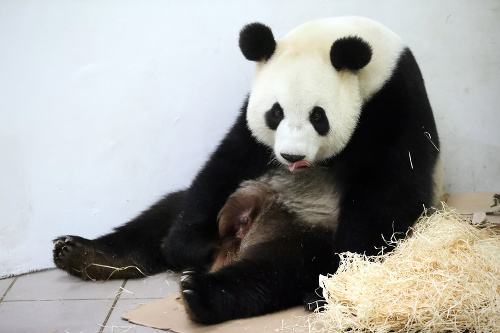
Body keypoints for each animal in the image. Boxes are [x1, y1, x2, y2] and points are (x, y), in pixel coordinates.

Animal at [52, 16, 440, 322]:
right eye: (275, 112)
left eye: (318, 116)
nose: (290, 156)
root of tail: (240, 236)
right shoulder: (249, 122)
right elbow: (227, 159)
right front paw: (184, 248)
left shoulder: (396, 104)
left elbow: (388, 194)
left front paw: (338, 282)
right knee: (164, 213)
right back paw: (82, 253)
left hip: (306, 229)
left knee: (278, 270)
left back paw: (202, 294)